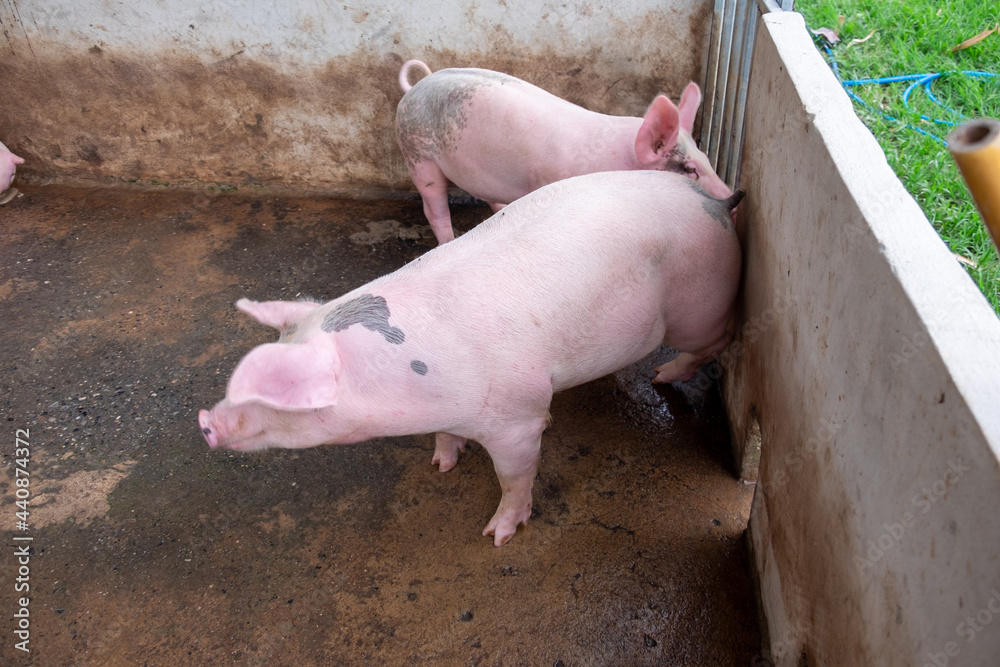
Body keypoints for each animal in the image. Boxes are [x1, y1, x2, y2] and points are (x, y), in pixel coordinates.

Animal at [199, 170, 744, 546]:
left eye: (283, 389)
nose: (205, 420)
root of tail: (714, 201)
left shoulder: (519, 418)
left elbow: (514, 476)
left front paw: (497, 536)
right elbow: (447, 437)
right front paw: (441, 465)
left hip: (699, 303)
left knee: (718, 341)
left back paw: (662, 376)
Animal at [395, 59, 731, 244]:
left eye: (706, 160)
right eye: (690, 170)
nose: (732, 197)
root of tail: (415, 87)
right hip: (416, 154)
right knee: (434, 208)